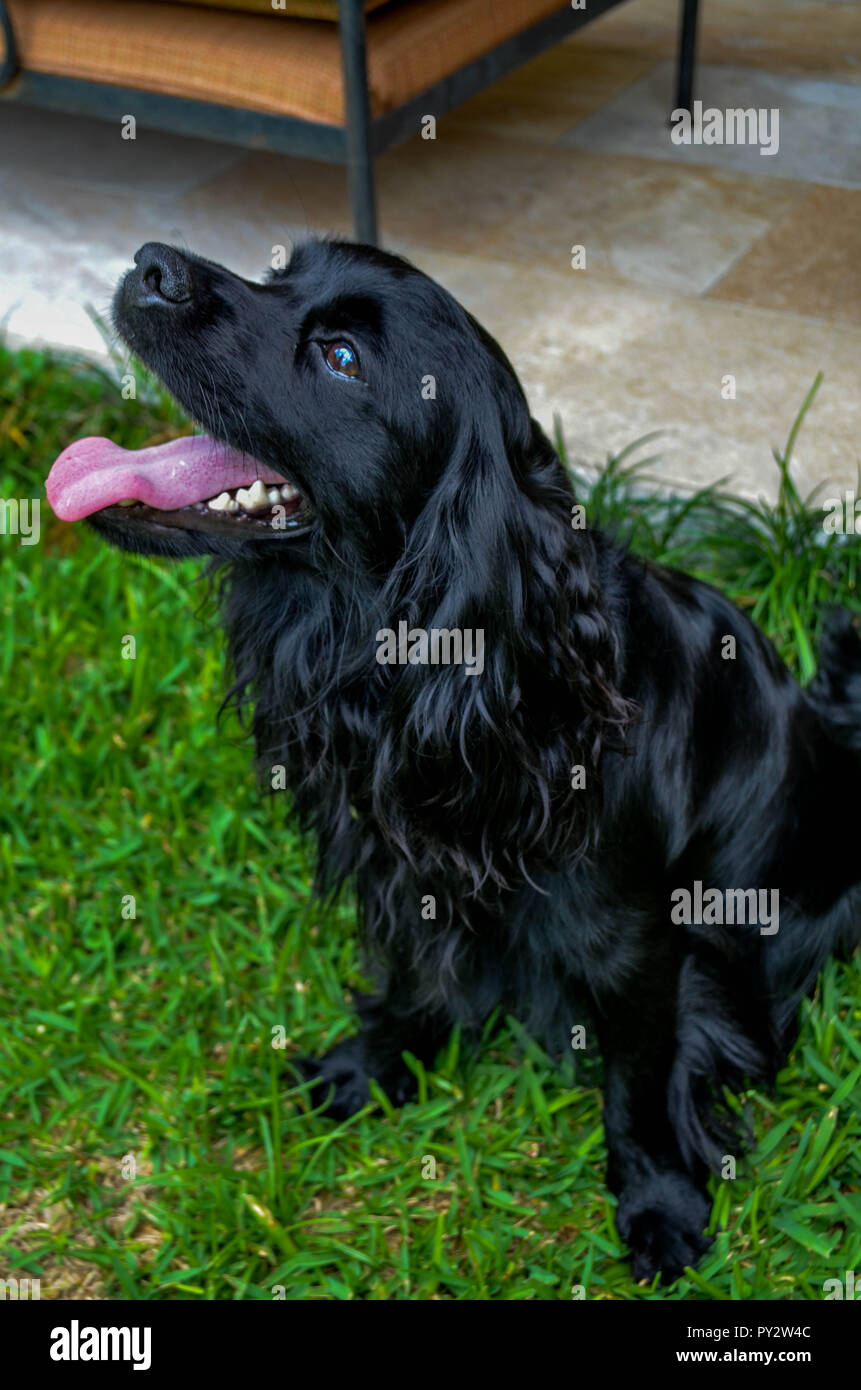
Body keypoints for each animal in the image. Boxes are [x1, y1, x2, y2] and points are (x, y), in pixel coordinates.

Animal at [48, 239, 861, 1278]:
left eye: (342, 357)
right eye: (282, 267)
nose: (151, 262)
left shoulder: (637, 940)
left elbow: (638, 1080)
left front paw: (659, 1201)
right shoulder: (405, 864)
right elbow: (413, 976)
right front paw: (372, 1064)